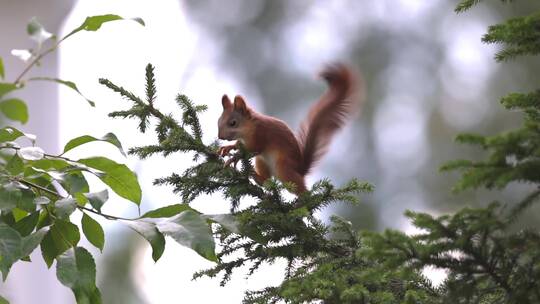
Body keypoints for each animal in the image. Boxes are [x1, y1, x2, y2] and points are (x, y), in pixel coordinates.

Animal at [216, 63, 362, 194]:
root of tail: (300, 169)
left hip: (283, 167)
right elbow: (239, 144)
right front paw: (228, 147)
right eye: (218, 121)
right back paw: (255, 176)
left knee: (301, 189)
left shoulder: (261, 134)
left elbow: (253, 148)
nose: (220, 136)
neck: (248, 129)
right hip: (262, 161)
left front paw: (234, 157)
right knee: (266, 181)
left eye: (233, 123)